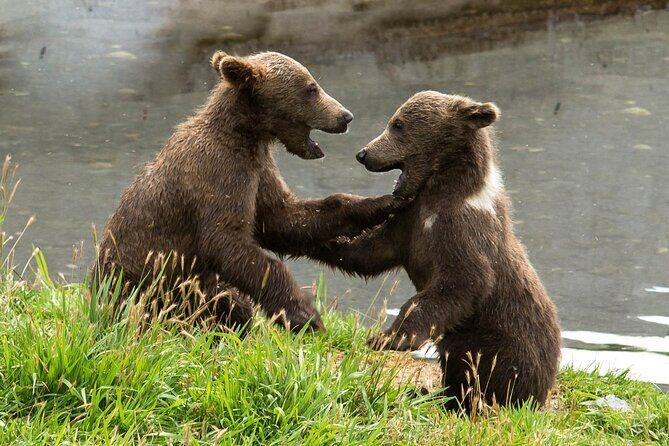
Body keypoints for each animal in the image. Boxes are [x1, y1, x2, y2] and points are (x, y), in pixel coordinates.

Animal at [92, 51, 407, 333]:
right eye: (311, 88)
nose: (345, 116)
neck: (246, 135)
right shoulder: (219, 174)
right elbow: (228, 242)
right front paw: (304, 315)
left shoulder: (260, 171)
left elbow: (284, 218)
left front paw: (382, 203)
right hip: (149, 290)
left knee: (230, 303)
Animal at [306, 91, 561, 411]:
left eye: (398, 124)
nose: (363, 154)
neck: (439, 192)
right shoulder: (409, 223)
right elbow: (367, 252)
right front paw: (308, 238)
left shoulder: (460, 230)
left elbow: (462, 282)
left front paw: (387, 337)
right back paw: (431, 393)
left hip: (501, 341)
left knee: (481, 369)